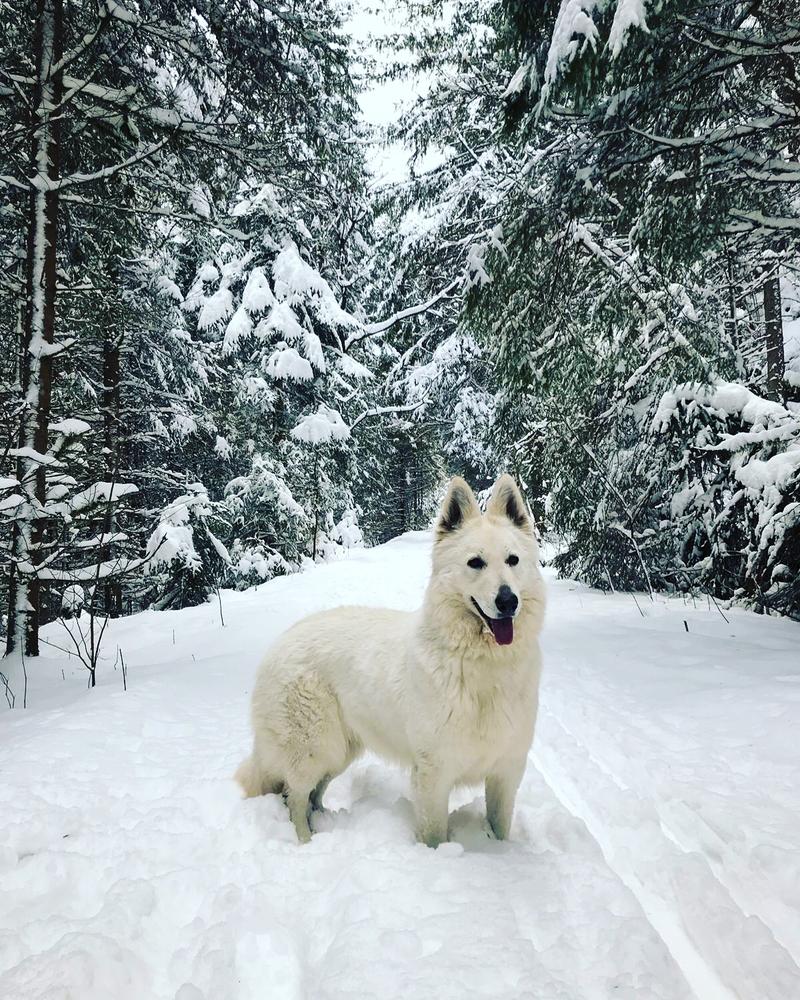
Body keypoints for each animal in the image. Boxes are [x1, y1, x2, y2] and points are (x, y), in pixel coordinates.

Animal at [236, 472, 544, 848]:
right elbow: (434, 834)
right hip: (314, 749)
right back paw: (306, 840)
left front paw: (500, 851)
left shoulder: (506, 771)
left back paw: (324, 820)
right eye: (476, 562)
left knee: (311, 794)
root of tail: (279, 642)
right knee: (294, 797)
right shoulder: (433, 773)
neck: (482, 665)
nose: (508, 601)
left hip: (339, 752)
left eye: (513, 560)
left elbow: (501, 827)